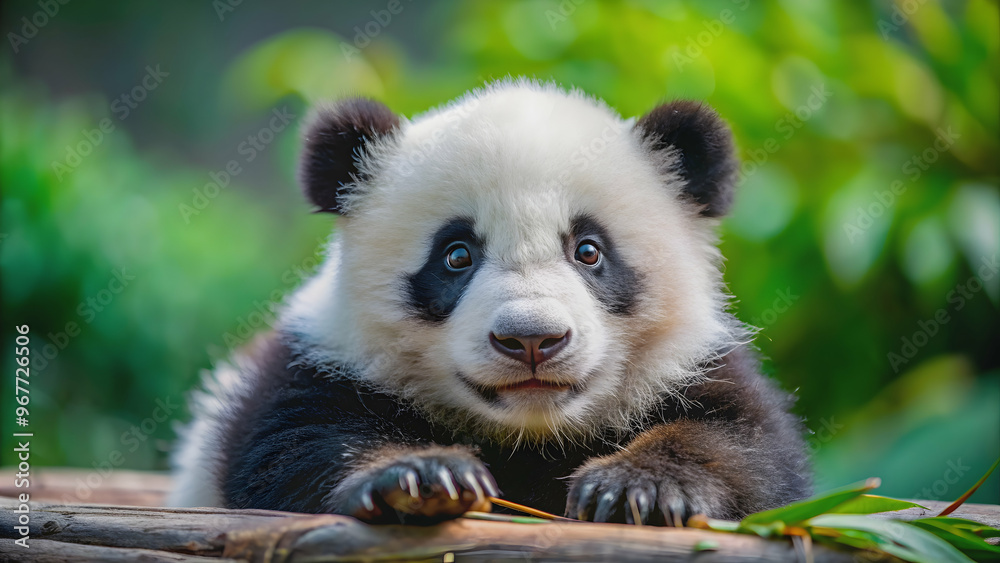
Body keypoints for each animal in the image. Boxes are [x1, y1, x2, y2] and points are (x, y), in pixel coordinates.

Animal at [168, 79, 811, 525]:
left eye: (588, 250)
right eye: (456, 255)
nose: (532, 339)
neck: (531, 435)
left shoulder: (695, 362)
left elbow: (744, 447)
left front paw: (638, 488)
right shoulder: (320, 361)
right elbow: (294, 445)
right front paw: (419, 477)